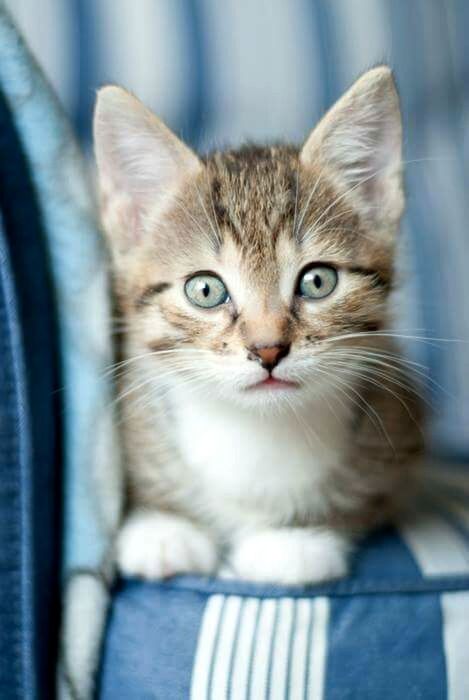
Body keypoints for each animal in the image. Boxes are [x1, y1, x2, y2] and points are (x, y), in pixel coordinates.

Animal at [93, 67, 422, 584]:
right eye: (205, 290)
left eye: (317, 281)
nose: (268, 349)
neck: (255, 432)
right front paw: (165, 527)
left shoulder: (399, 423)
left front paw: (294, 540)